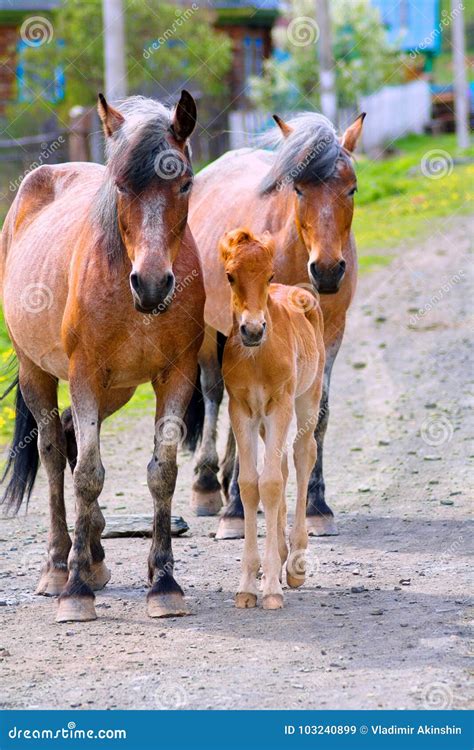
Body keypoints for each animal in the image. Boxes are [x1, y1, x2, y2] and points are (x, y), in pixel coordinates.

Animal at [0, 91, 205, 623]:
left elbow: (162, 472)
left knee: (72, 437)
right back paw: (59, 567)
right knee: (55, 452)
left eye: (185, 182)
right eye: (120, 185)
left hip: (119, 388)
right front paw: (75, 593)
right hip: (38, 374)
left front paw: (164, 582)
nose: (152, 284)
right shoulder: (85, 374)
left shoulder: (175, 375)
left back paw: (90, 556)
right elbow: (88, 476)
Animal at [187, 111, 364, 539]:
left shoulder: (329, 336)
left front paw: (316, 504)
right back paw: (208, 486)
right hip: (210, 334)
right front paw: (235, 510)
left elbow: (318, 415)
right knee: (214, 393)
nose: (328, 270)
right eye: (298, 189)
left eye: (351, 189)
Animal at [219, 228, 325, 609]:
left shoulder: (280, 404)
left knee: (302, 455)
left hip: (307, 397)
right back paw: (278, 558)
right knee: (278, 464)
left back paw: (294, 565)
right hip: (266, 419)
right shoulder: (241, 409)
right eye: (230, 276)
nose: (252, 330)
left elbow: (272, 484)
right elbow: (252, 484)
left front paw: (272, 591)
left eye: (269, 275)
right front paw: (248, 585)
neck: (256, 358)